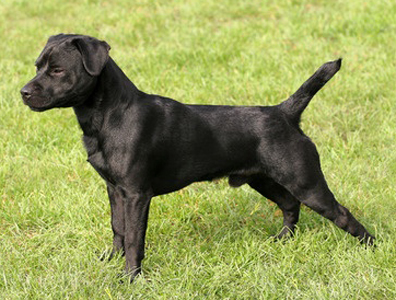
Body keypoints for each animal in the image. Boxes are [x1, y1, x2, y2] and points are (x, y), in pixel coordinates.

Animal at [20, 34, 374, 282]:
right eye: (37, 66)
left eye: (57, 70)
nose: (23, 92)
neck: (109, 115)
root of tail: (284, 112)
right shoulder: (114, 189)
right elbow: (117, 227)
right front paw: (111, 260)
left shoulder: (136, 194)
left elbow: (134, 237)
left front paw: (130, 278)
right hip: (263, 179)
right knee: (290, 205)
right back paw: (282, 241)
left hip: (306, 182)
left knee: (342, 214)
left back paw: (372, 247)